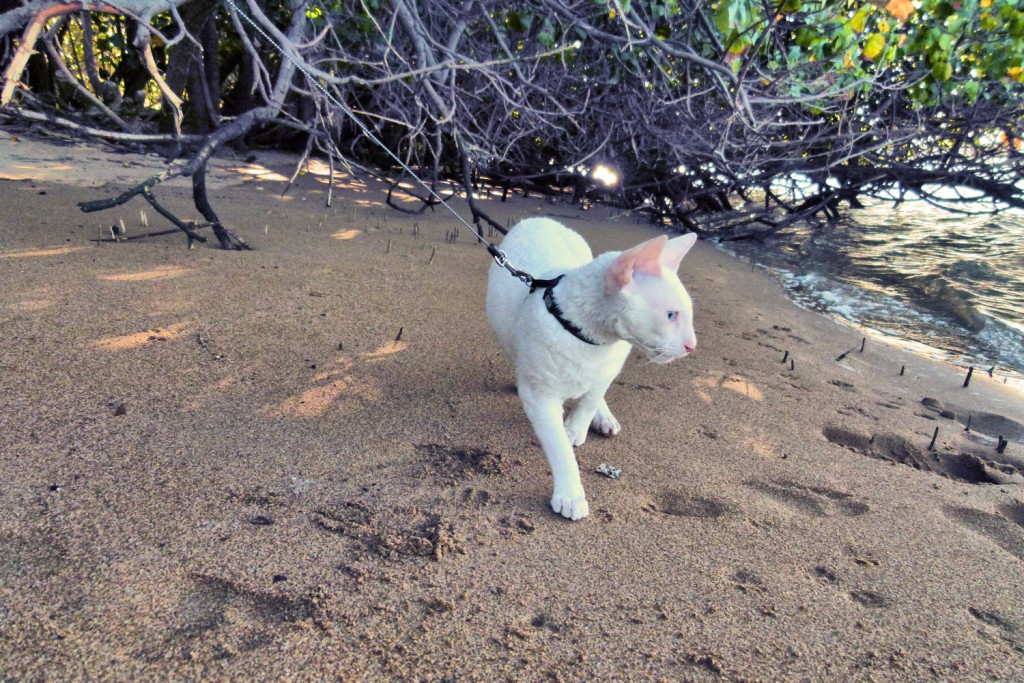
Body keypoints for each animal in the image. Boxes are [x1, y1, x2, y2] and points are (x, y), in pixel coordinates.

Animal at [485, 216, 696, 520]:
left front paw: (577, 427)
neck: (591, 338)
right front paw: (571, 493)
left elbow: (591, 399)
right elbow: (560, 447)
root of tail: (541, 218)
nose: (692, 346)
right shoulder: (540, 396)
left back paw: (603, 417)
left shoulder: (609, 366)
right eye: (671, 315)